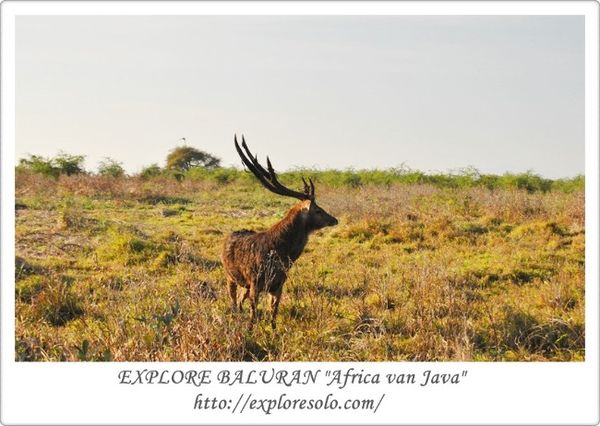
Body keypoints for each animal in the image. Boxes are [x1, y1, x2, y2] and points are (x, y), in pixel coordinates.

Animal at [224, 136, 340, 330]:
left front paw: (274, 331)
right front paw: (249, 331)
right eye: (317, 210)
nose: (334, 219)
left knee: (239, 300)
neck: (284, 254)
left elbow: (274, 314)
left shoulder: (278, 284)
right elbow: (253, 316)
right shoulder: (256, 282)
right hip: (230, 277)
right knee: (233, 301)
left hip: (244, 284)